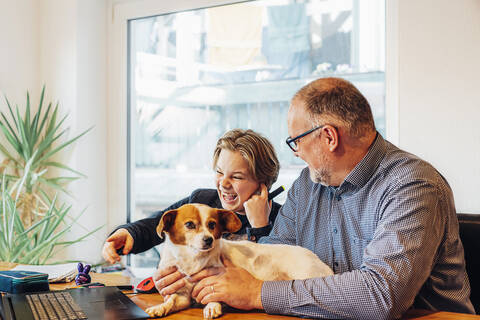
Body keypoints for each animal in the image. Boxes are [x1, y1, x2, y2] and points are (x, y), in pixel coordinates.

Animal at [145, 204, 334, 318]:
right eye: (190, 224)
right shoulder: (182, 295)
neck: (193, 259)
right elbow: (171, 300)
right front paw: (160, 307)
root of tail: (320, 261)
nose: (208, 240)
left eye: (212, 225)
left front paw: (212, 306)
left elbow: (214, 296)